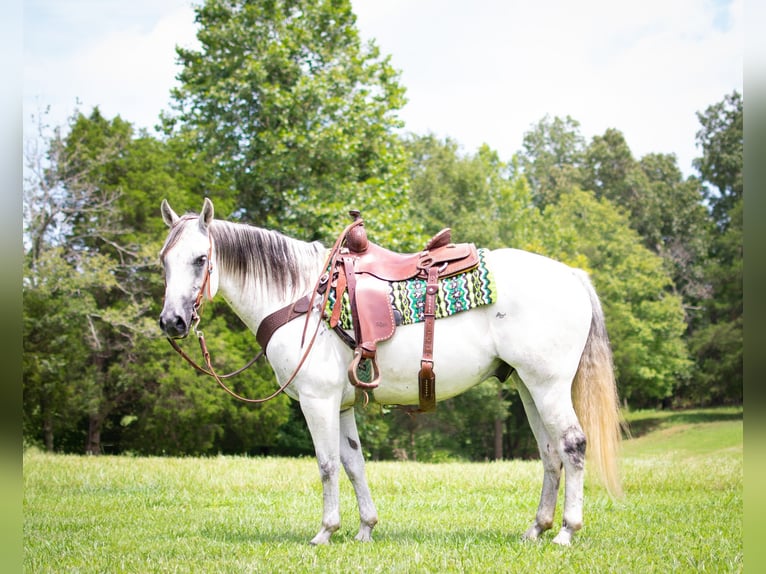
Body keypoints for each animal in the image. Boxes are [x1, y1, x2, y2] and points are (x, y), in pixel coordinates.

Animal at [158, 199, 624, 548]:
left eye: (201, 259)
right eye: (164, 261)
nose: (172, 322)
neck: (303, 297)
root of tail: (571, 276)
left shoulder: (317, 400)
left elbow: (327, 464)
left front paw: (325, 531)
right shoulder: (341, 404)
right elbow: (353, 463)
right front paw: (365, 528)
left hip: (549, 386)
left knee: (573, 445)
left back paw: (566, 532)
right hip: (529, 386)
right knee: (550, 452)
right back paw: (536, 528)